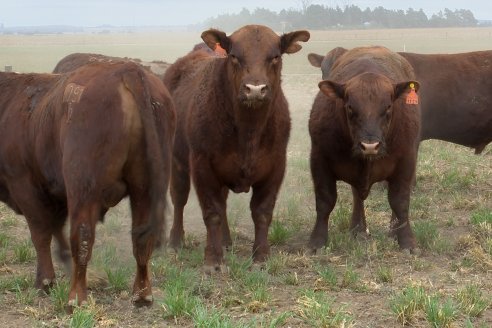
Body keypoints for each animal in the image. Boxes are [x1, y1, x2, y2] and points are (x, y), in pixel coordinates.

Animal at [0, 61, 176, 308]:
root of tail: (127, 69)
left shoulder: (24, 186)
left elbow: (41, 234)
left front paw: (45, 282)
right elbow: (56, 230)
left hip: (83, 189)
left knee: (82, 237)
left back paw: (75, 297)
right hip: (144, 188)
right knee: (141, 238)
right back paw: (142, 295)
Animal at [163, 25, 310, 272]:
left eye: (275, 56)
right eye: (234, 56)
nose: (255, 89)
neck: (248, 130)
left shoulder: (276, 166)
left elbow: (262, 212)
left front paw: (261, 257)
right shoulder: (202, 165)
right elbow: (211, 212)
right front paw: (213, 260)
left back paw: (226, 240)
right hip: (177, 161)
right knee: (179, 199)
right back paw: (175, 241)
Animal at [308, 44, 418, 252]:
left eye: (388, 107)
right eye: (350, 107)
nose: (370, 145)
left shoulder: (406, 161)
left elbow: (400, 201)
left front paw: (406, 240)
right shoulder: (319, 159)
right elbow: (325, 201)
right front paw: (317, 241)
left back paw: (393, 230)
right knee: (357, 196)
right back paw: (358, 229)